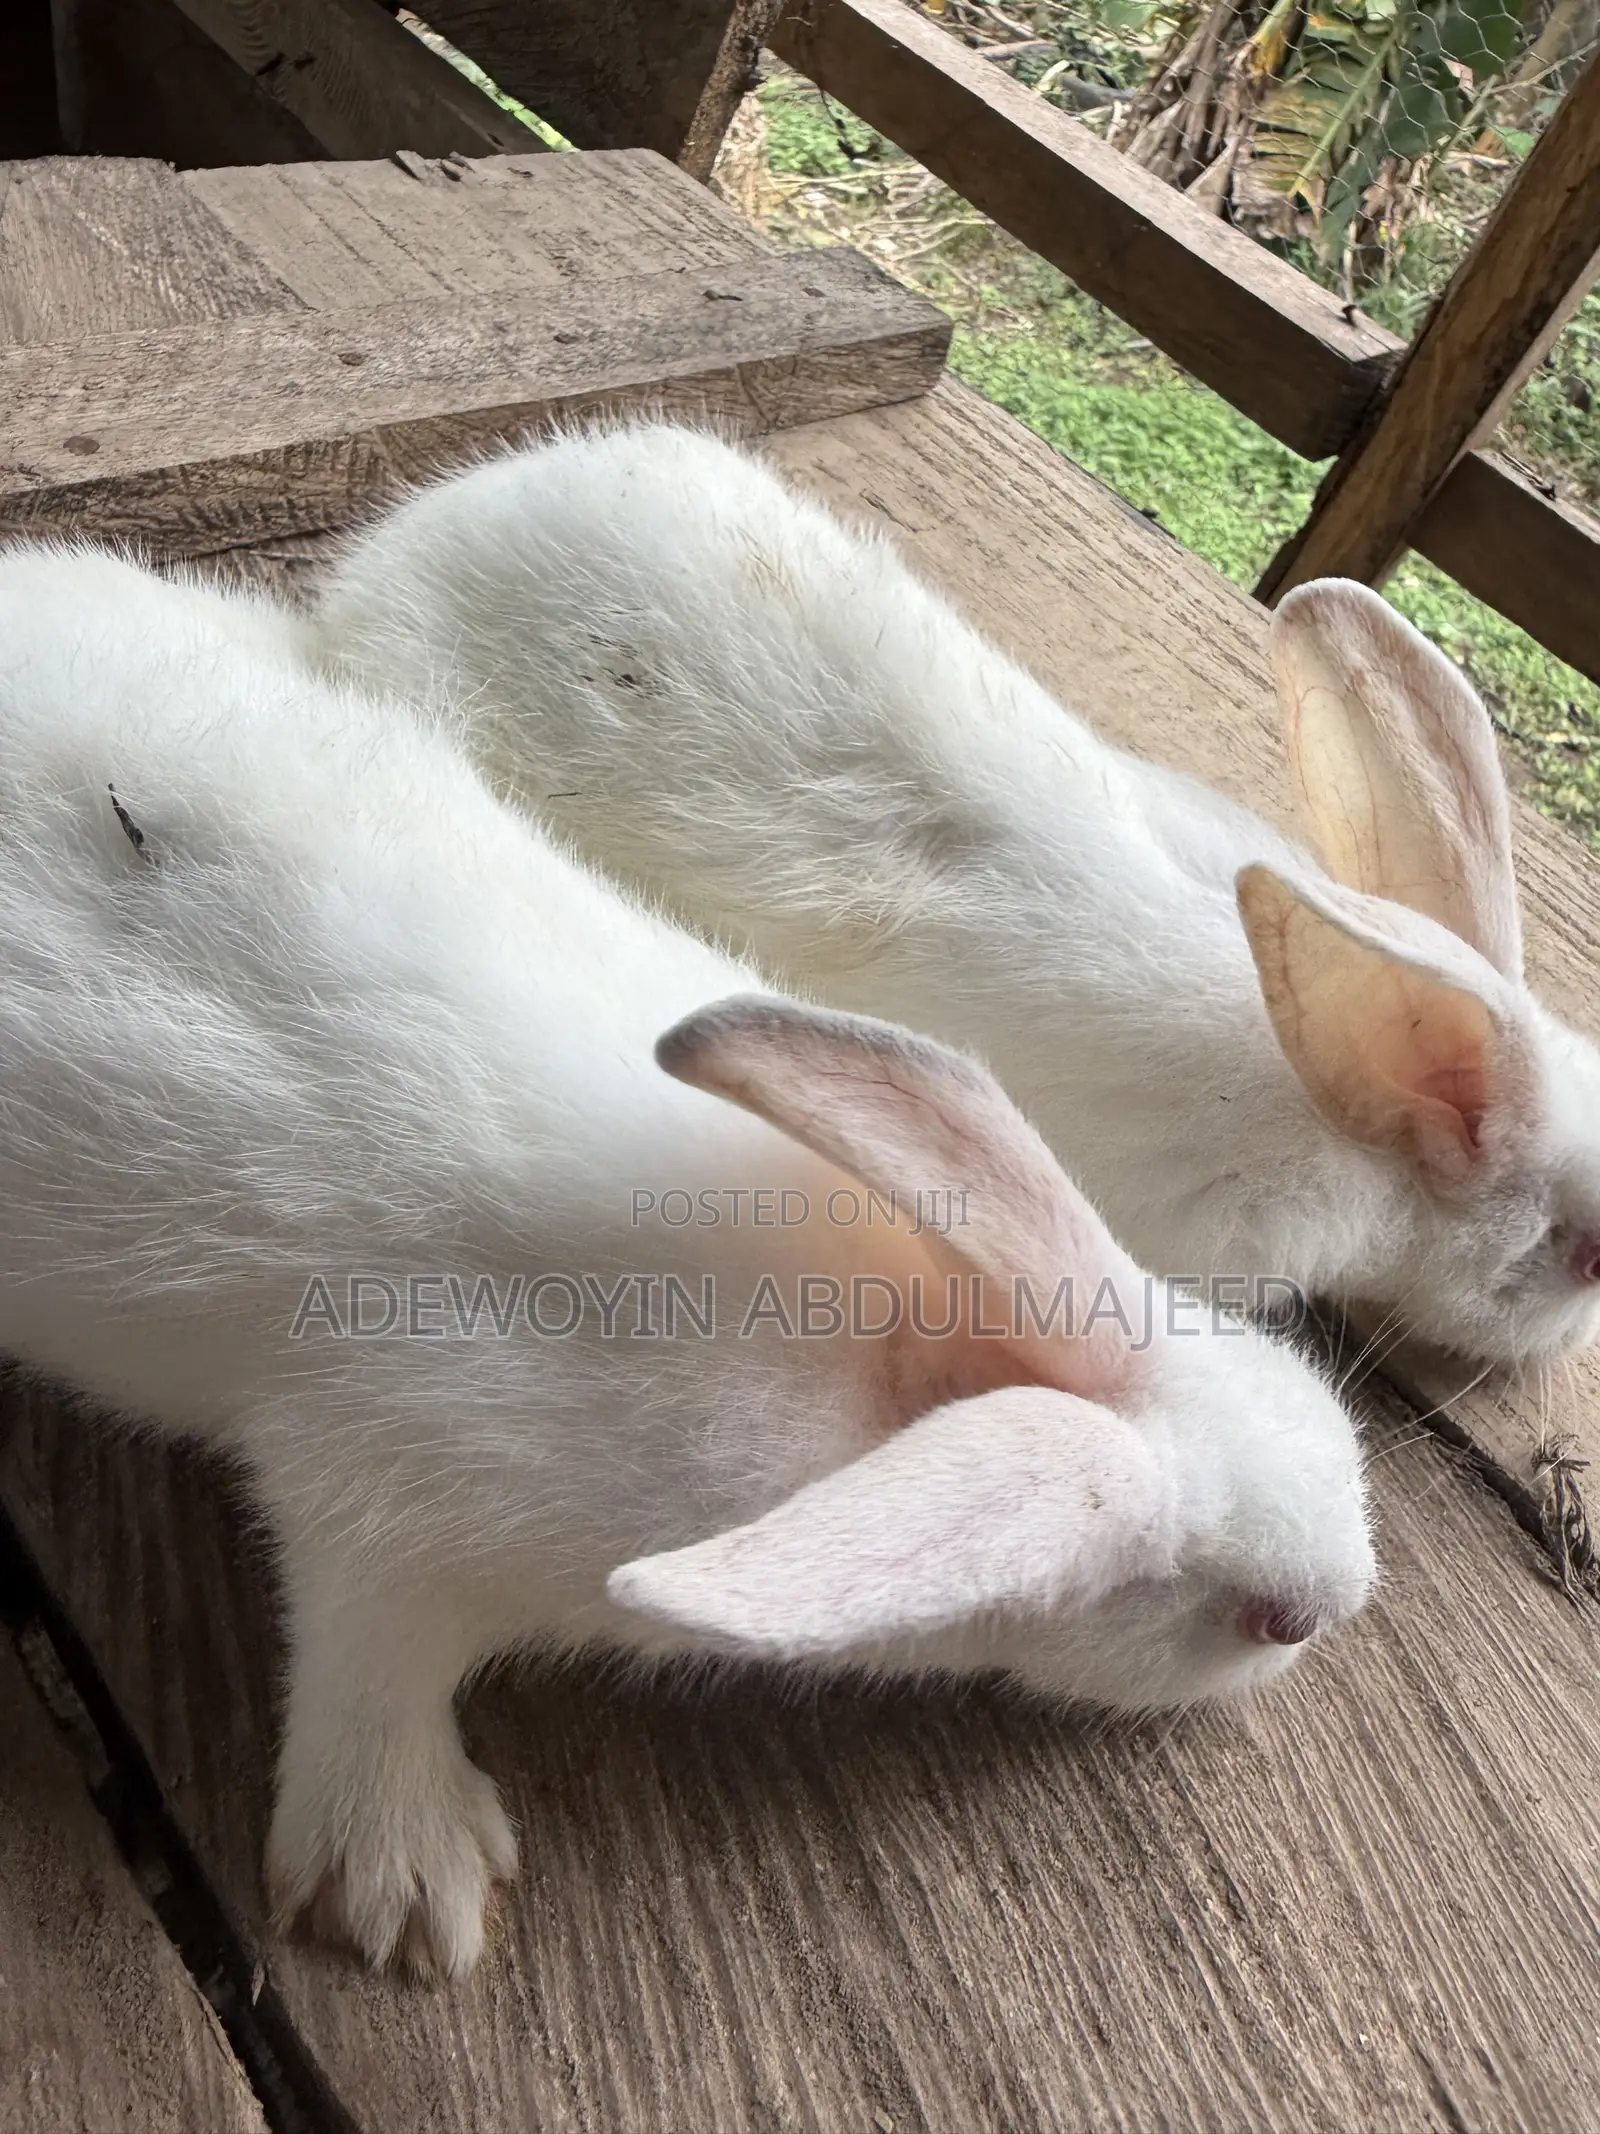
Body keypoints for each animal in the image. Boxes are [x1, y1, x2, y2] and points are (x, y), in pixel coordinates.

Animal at [0, 540, 1372, 1980]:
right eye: (1268, 1620)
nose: (1348, 1594)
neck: (875, 1360)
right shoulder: (384, 1504)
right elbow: (370, 1666)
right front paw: (410, 1885)